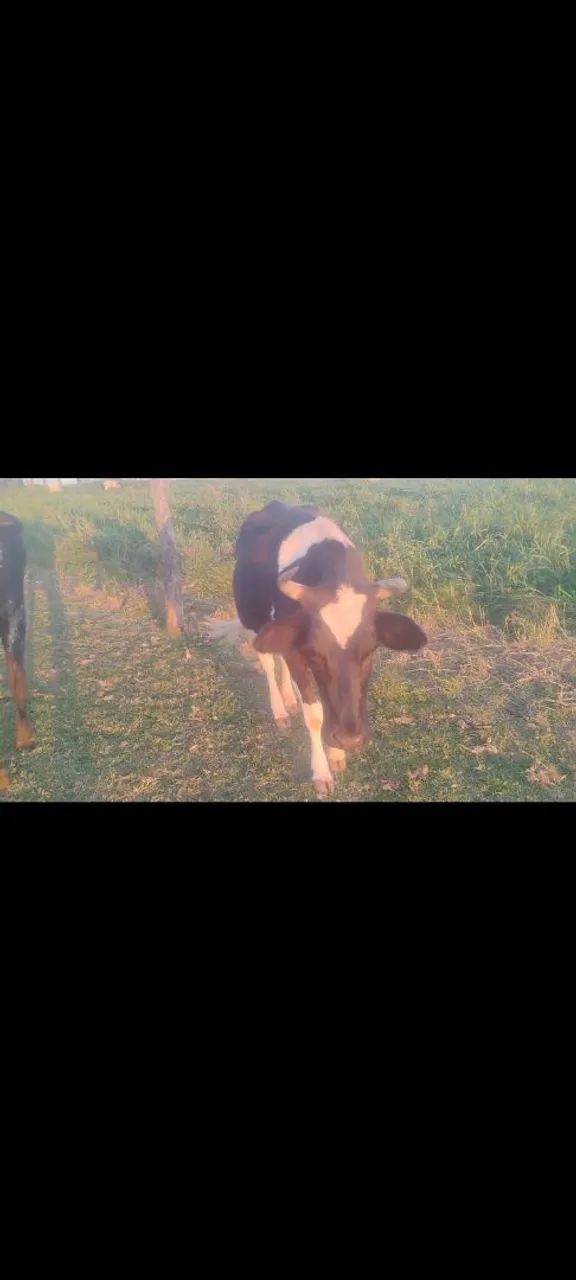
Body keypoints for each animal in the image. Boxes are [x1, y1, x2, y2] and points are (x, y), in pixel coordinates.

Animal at [204, 502, 427, 795]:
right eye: (316, 654)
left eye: (370, 652)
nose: (350, 738)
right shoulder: (298, 652)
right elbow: (314, 713)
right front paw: (321, 771)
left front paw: (337, 752)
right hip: (252, 617)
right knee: (268, 663)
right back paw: (280, 709)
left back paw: (289, 697)